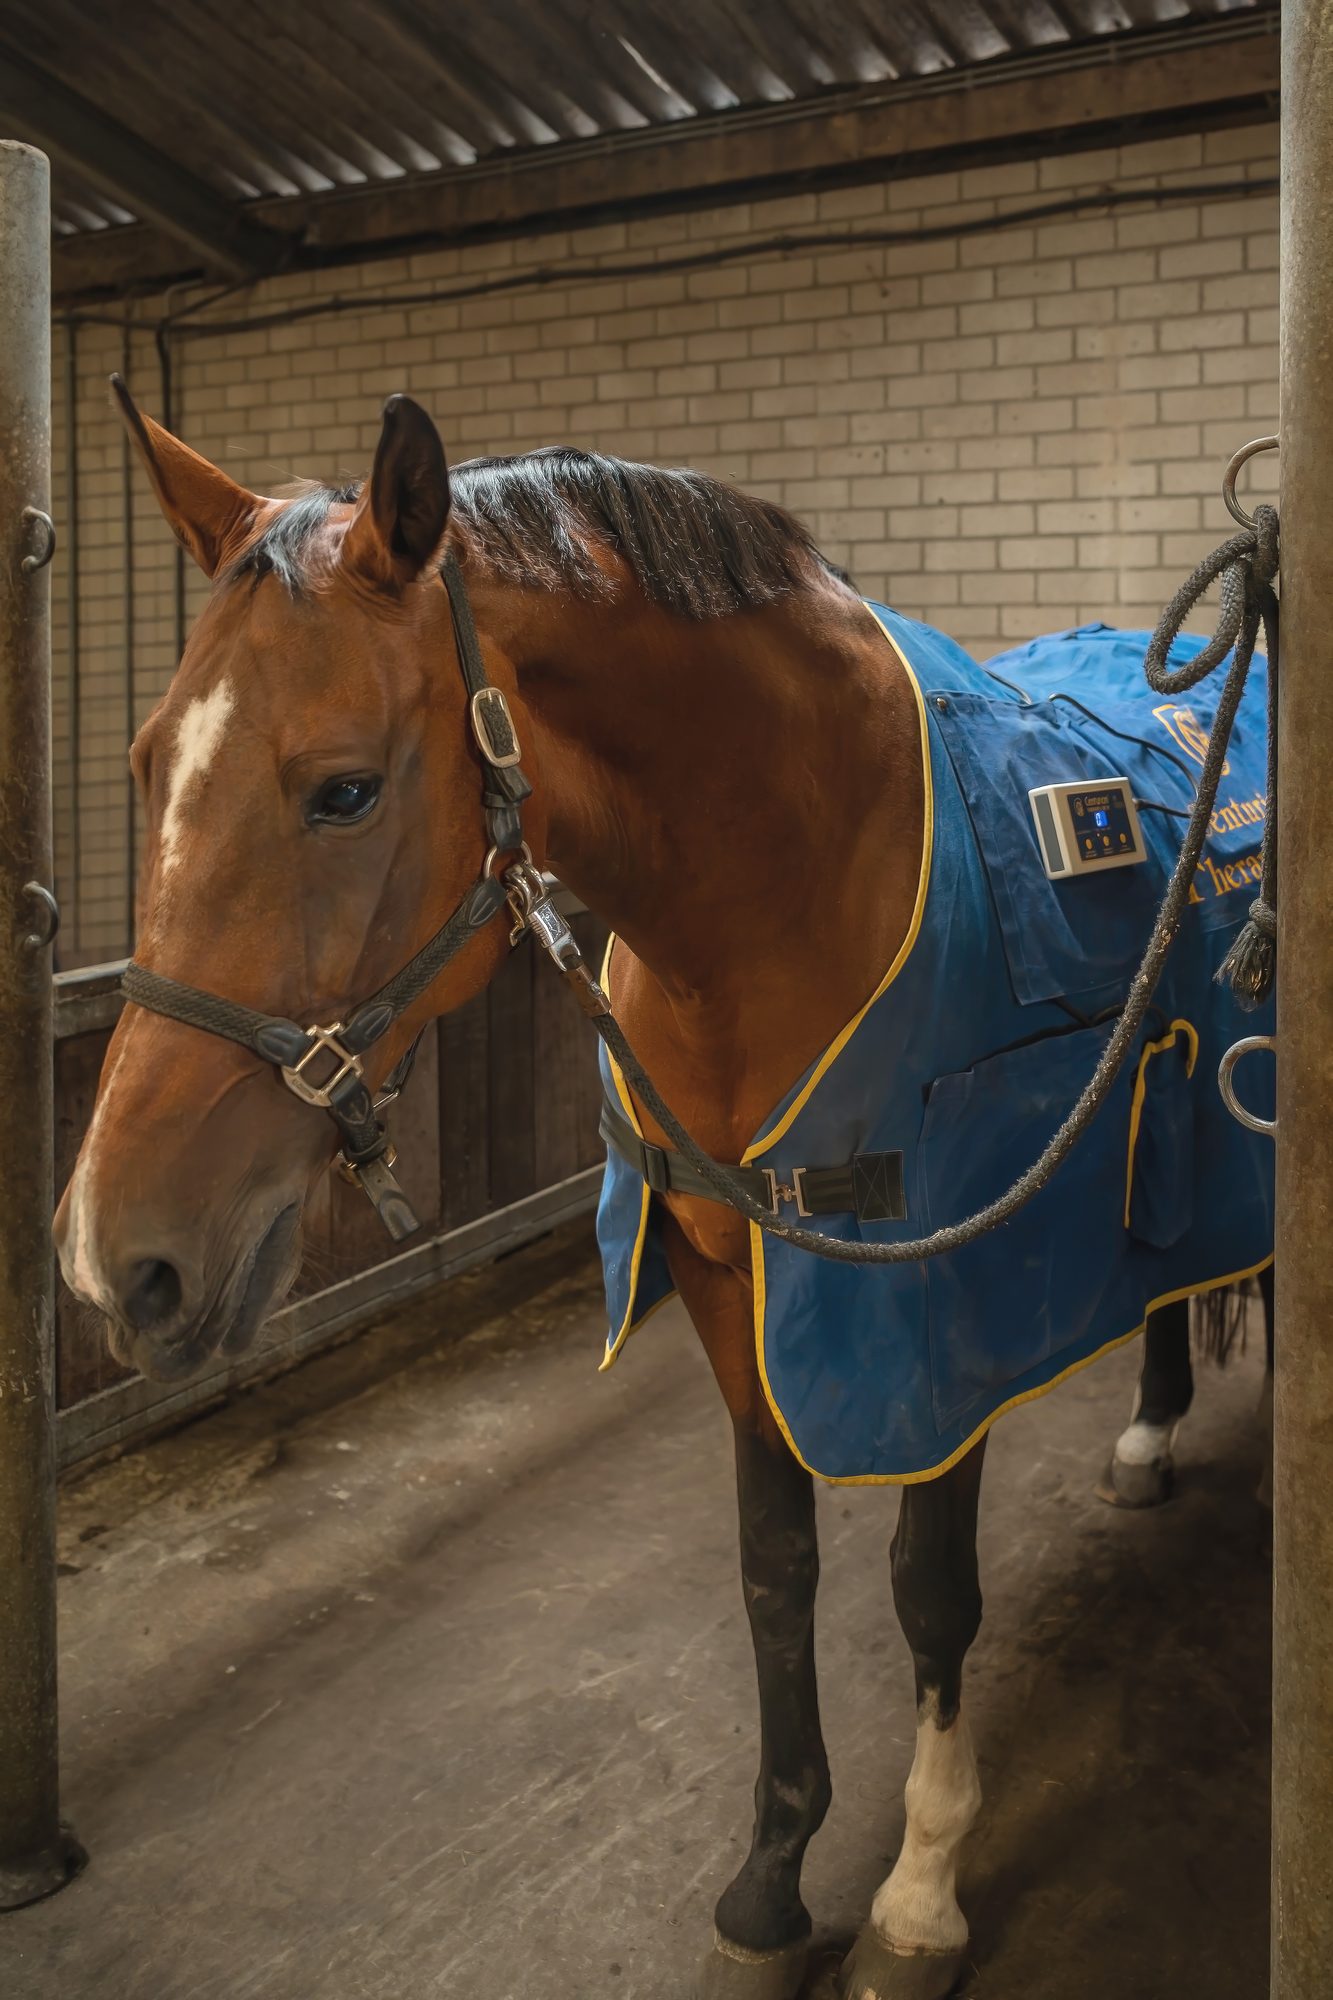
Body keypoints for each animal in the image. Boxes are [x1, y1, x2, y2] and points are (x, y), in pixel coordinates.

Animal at [56, 386, 1275, 2000]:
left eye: (343, 790)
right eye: (142, 766)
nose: (109, 1263)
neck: (788, 893)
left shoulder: (933, 1309)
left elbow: (927, 1586)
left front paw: (918, 1889)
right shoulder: (719, 1274)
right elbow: (774, 1568)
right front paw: (772, 1876)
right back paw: (1145, 1430)